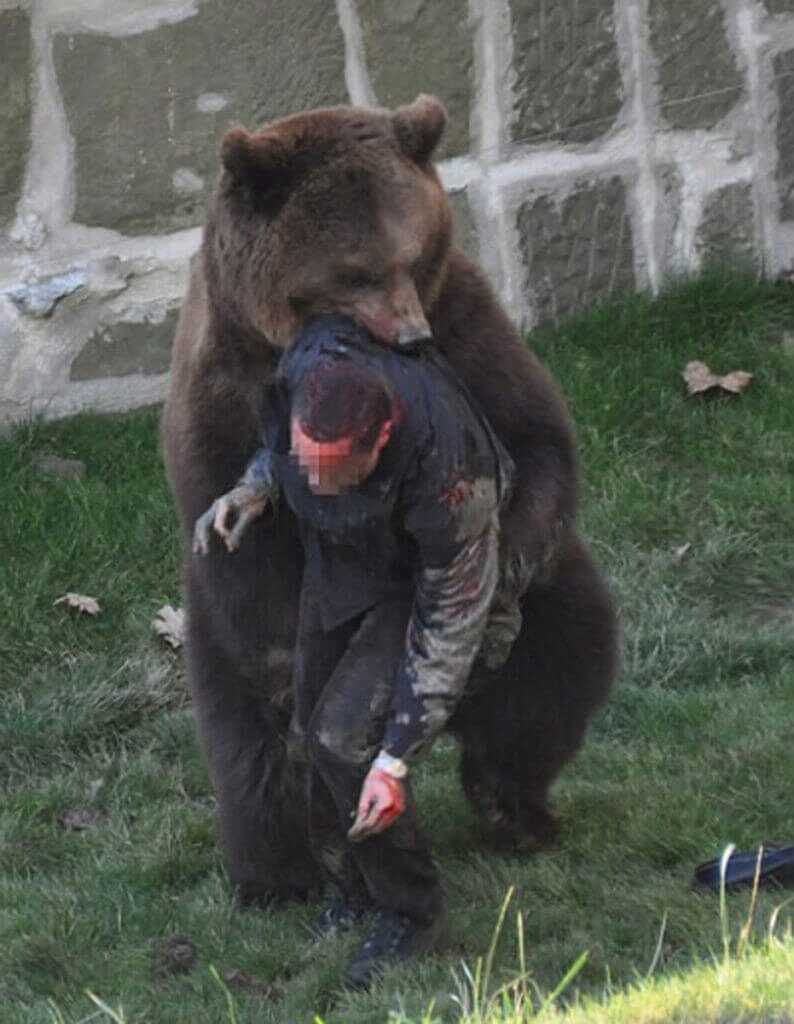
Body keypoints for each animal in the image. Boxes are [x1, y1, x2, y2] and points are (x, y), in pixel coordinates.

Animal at [162, 95, 618, 907]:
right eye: (355, 270)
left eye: (412, 252)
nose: (410, 336)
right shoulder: (223, 393)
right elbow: (250, 553)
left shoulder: (465, 325)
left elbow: (536, 438)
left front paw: (494, 578)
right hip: (213, 642)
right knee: (249, 750)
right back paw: (280, 872)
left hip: (549, 614)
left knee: (562, 661)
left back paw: (512, 804)